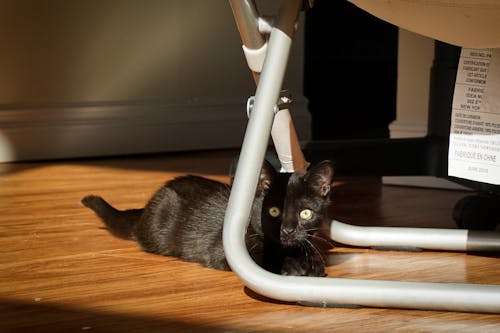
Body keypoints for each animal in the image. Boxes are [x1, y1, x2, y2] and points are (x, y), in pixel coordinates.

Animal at [82, 159, 334, 274]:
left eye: (305, 213)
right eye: (273, 211)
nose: (288, 229)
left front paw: (311, 263)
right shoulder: (222, 252)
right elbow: (262, 258)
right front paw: (295, 266)